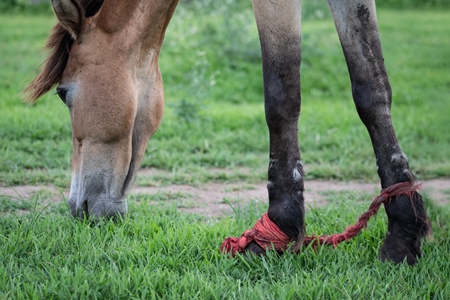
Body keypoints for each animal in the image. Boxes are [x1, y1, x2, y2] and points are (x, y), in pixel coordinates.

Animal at [26, 0, 430, 264]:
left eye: (63, 93)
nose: (78, 206)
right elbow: (371, 88)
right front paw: (403, 233)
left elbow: (282, 94)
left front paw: (279, 227)